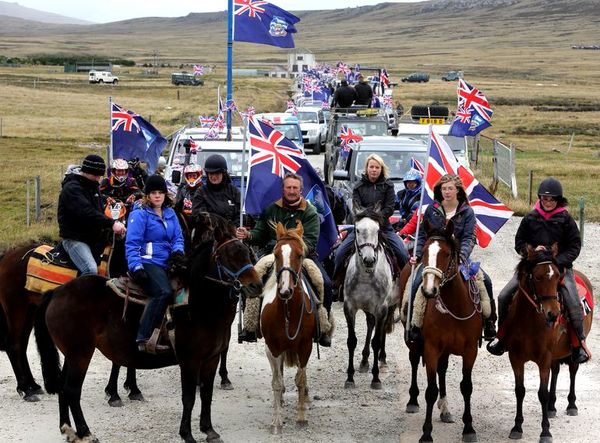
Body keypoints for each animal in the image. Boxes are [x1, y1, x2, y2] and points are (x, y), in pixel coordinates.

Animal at [35, 213, 262, 442]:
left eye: (248, 253)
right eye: (228, 256)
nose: (256, 285)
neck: (198, 303)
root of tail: (57, 292)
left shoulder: (211, 359)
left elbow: (207, 394)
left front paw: (209, 430)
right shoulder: (189, 360)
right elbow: (189, 398)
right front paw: (187, 434)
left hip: (72, 355)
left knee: (63, 388)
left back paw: (67, 429)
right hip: (80, 354)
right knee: (72, 390)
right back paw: (85, 432)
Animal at [262, 220, 318, 436]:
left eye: (300, 255)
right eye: (276, 254)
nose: (285, 290)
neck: (288, 313)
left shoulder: (305, 347)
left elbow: (300, 379)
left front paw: (302, 417)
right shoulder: (274, 348)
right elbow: (277, 383)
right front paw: (277, 422)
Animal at [342, 208, 398, 388]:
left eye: (378, 231)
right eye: (357, 230)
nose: (369, 260)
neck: (366, 276)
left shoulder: (381, 308)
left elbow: (376, 341)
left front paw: (376, 378)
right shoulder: (349, 307)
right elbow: (351, 341)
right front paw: (350, 378)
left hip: (389, 306)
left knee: (381, 331)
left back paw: (383, 361)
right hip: (368, 308)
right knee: (370, 324)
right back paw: (364, 361)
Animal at [400, 222, 486, 443]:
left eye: (447, 254)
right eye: (423, 252)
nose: (429, 290)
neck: (455, 305)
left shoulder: (470, 350)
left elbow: (466, 386)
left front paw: (469, 429)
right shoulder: (431, 348)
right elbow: (431, 390)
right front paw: (426, 433)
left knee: (443, 369)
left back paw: (445, 409)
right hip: (415, 342)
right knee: (414, 360)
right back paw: (412, 400)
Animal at [502, 246, 592, 443]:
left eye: (558, 276)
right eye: (537, 277)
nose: (554, 313)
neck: (529, 322)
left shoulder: (544, 358)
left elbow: (541, 394)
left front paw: (545, 432)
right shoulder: (516, 357)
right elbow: (519, 390)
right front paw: (517, 427)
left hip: (571, 350)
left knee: (573, 369)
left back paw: (571, 405)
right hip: (555, 353)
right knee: (556, 370)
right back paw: (551, 407)